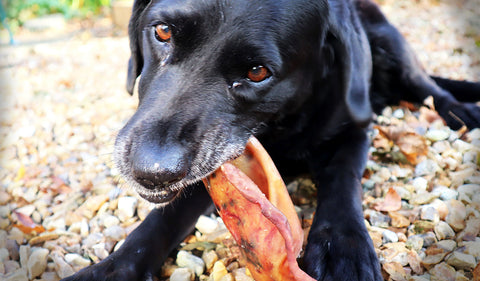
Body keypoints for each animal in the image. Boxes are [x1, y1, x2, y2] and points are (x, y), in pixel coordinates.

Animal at [65, 0, 480, 278]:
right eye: (163, 32)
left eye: (257, 72)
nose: (150, 171)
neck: (278, 127)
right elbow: (161, 220)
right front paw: (113, 268)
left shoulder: (355, 131)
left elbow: (342, 180)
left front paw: (342, 247)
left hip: (390, 44)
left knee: (428, 88)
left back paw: (461, 111)